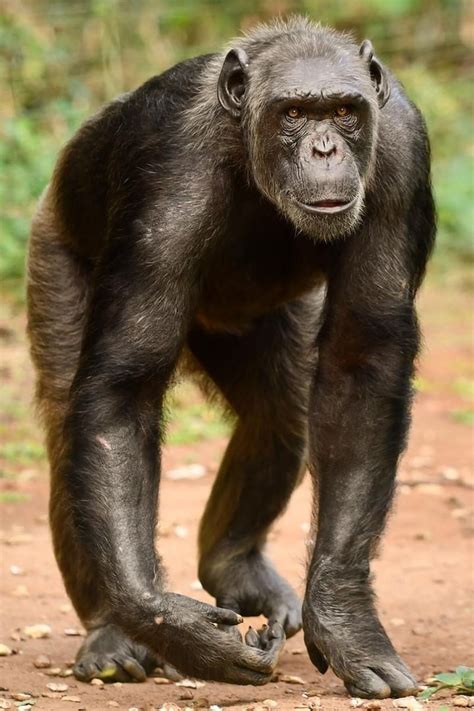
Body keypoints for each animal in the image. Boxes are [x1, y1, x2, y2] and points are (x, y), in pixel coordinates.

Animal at [27, 16, 435, 699]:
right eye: (294, 113)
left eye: (344, 112)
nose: (325, 148)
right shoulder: (165, 180)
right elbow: (124, 387)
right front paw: (174, 627)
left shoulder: (402, 155)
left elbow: (362, 359)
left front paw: (346, 623)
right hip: (51, 247)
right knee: (70, 430)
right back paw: (112, 634)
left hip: (261, 325)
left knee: (282, 414)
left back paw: (232, 567)